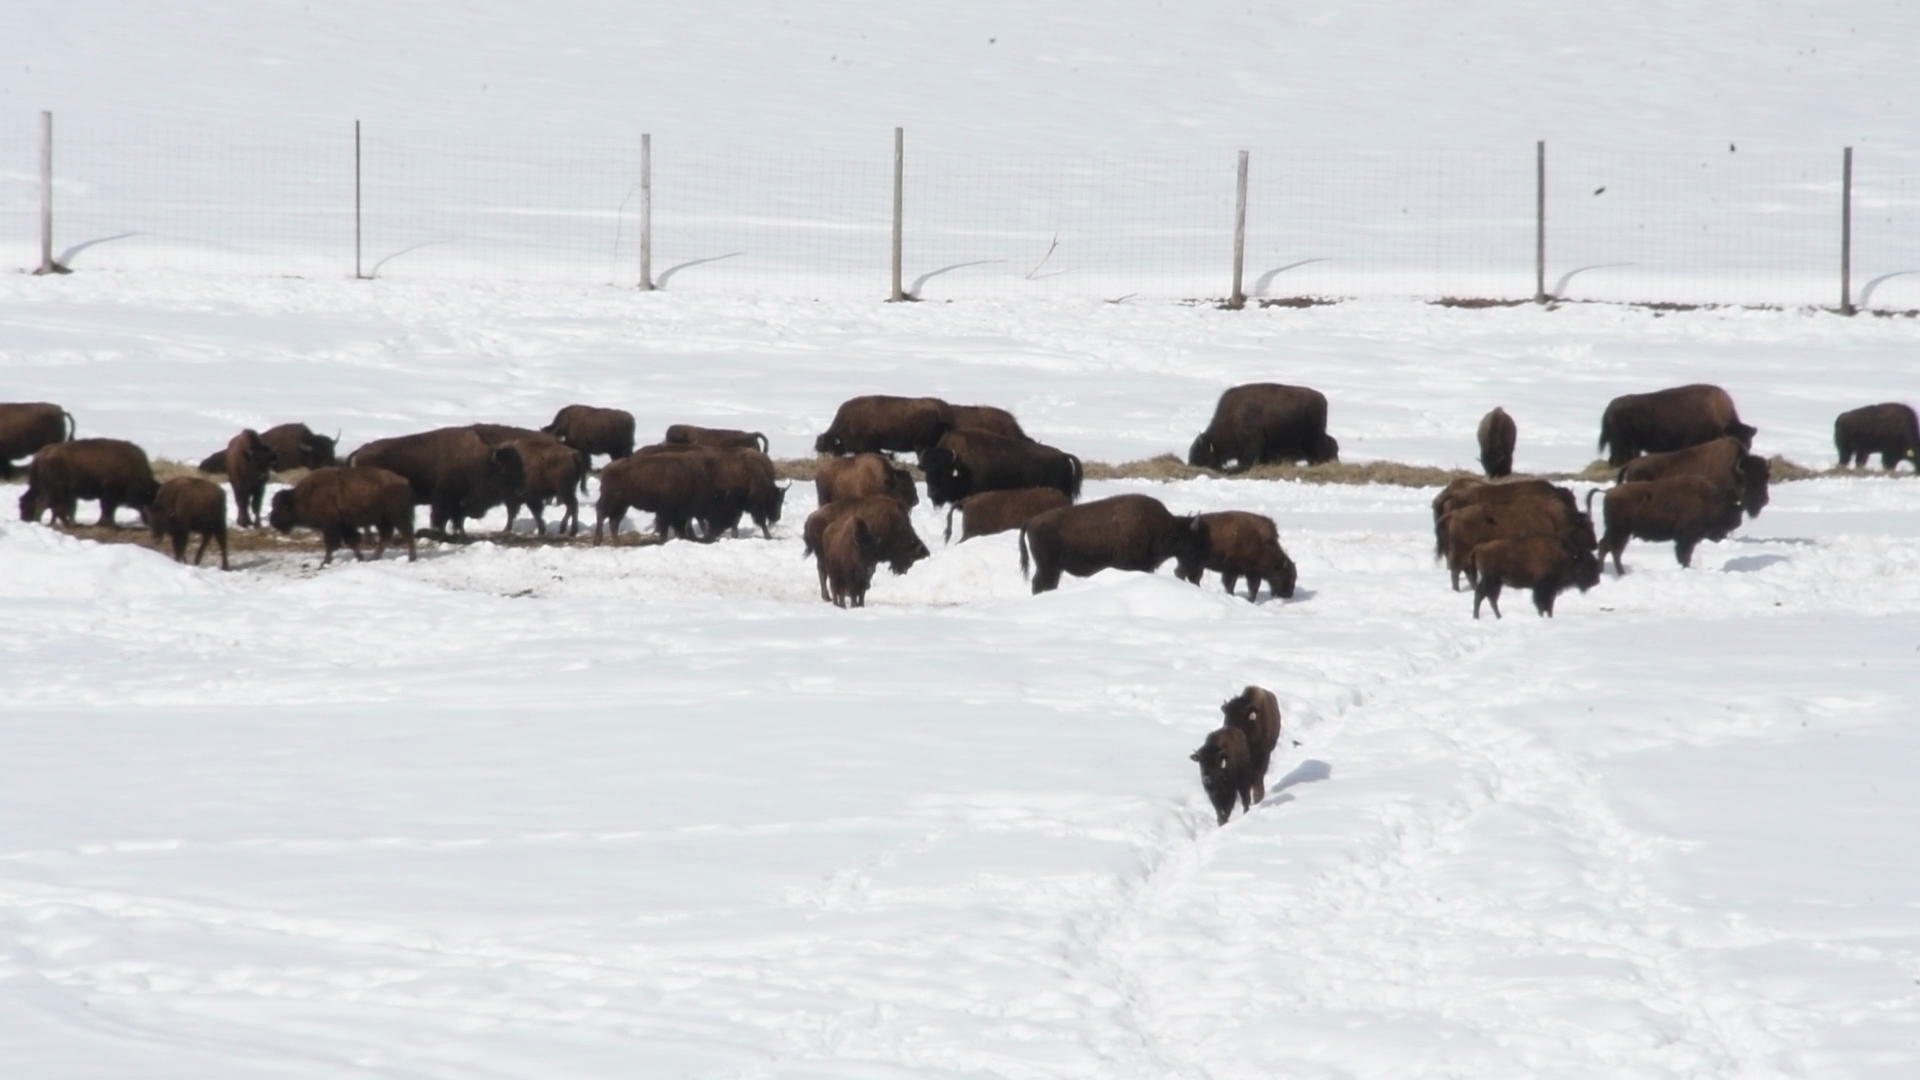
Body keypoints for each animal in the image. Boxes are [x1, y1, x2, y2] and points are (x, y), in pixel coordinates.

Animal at [18, 438, 158, 527]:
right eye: (149, 496)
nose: (24, 519)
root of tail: (41, 455)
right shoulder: (108, 494)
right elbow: (107, 509)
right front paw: (109, 524)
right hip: (52, 491)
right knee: (44, 504)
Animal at [268, 466, 417, 565]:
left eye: (280, 507)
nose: (272, 521)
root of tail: (403, 481)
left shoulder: (330, 526)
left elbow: (331, 544)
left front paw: (325, 562)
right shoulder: (345, 526)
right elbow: (352, 542)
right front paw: (360, 558)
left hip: (397, 517)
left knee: (407, 535)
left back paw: (411, 558)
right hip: (383, 521)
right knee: (386, 537)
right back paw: (374, 558)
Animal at [1018, 494, 1209, 594]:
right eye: (1193, 540)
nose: (1197, 570)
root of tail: (1031, 521)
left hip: (1053, 568)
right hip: (1047, 567)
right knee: (1040, 584)